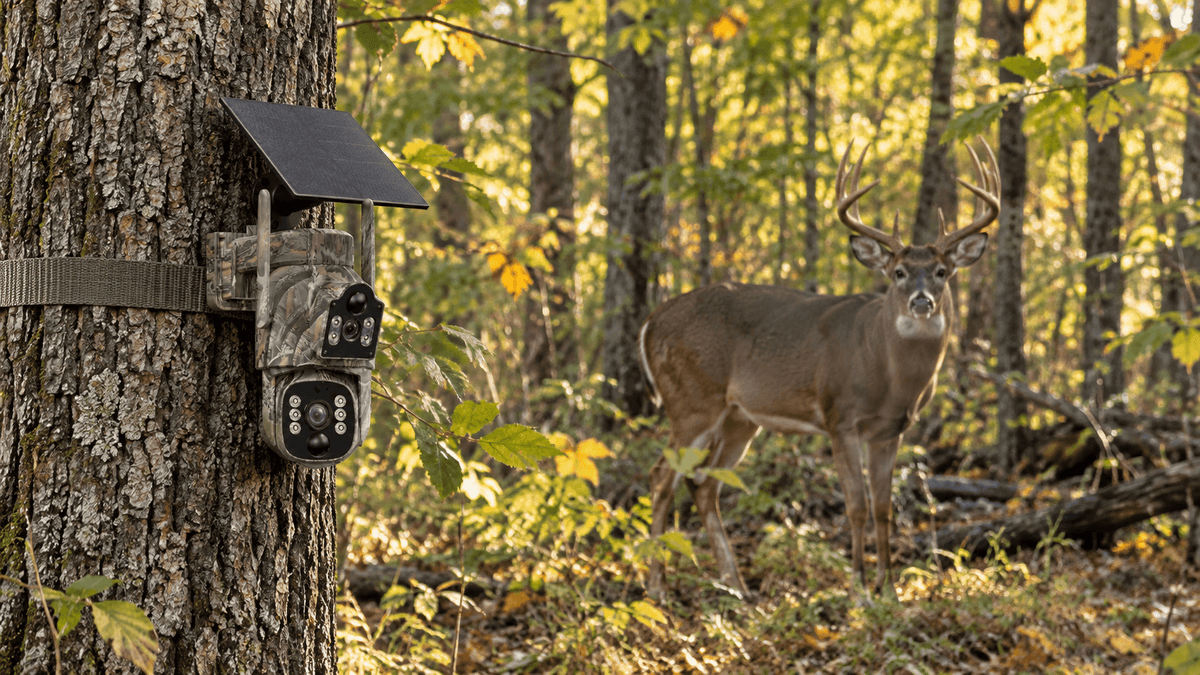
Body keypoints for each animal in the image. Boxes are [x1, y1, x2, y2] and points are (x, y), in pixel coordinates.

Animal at [638, 139, 1000, 602]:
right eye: (898, 272)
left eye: (941, 271)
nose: (922, 301)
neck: (887, 373)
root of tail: (651, 322)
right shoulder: (838, 416)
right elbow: (857, 505)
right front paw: (859, 589)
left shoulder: (890, 429)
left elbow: (883, 507)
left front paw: (889, 590)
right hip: (691, 401)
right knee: (661, 478)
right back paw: (657, 588)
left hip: (739, 418)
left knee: (704, 485)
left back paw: (736, 586)